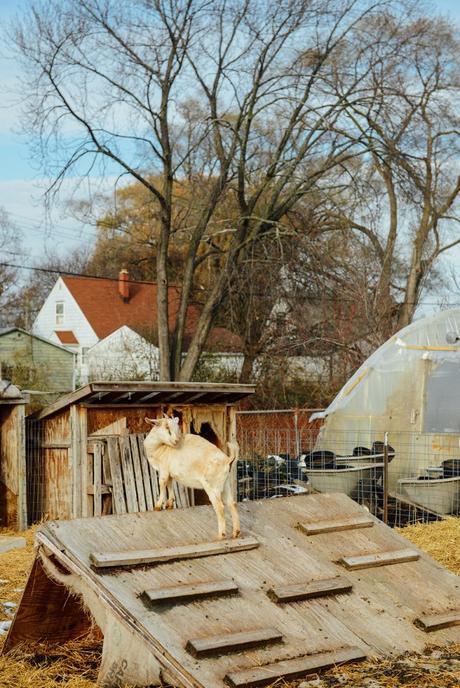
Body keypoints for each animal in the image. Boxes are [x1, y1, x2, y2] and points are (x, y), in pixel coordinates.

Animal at [144, 414, 241, 544]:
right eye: (167, 427)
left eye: (176, 427)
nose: (176, 441)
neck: (160, 448)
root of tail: (227, 460)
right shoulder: (169, 472)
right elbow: (170, 484)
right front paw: (170, 503)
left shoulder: (164, 469)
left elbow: (162, 484)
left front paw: (158, 506)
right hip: (225, 485)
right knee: (232, 504)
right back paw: (236, 533)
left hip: (212, 486)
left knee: (220, 507)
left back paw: (220, 536)